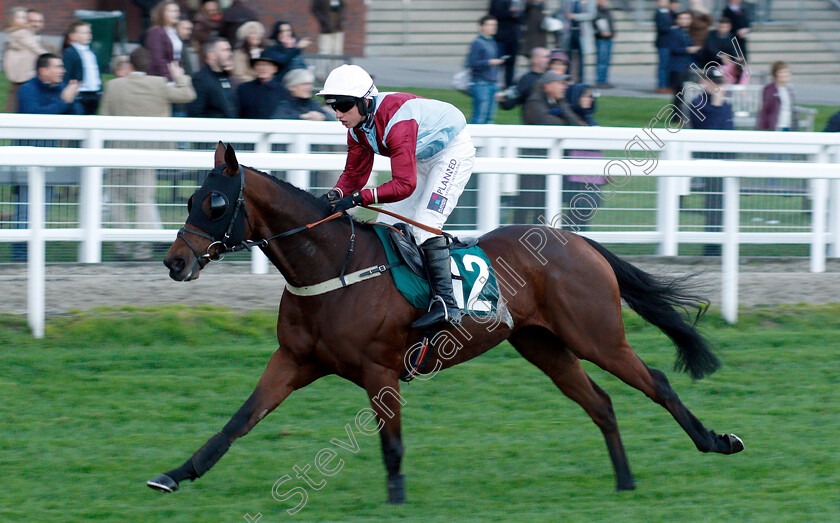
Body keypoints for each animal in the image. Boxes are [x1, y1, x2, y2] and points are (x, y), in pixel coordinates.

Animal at [149, 143, 740, 504]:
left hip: (596, 335)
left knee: (656, 383)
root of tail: (580, 242)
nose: (175, 261)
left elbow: (391, 446)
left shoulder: (379, 370)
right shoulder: (294, 360)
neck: (331, 267)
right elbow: (238, 421)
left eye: (216, 202)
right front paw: (175, 475)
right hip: (543, 345)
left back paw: (716, 441)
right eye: (190, 197)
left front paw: (396, 502)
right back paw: (624, 480)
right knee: (600, 403)